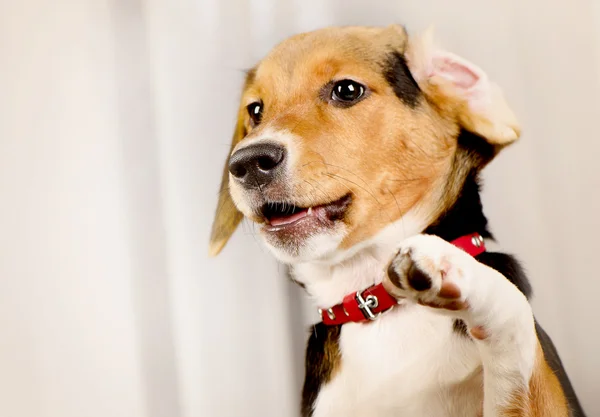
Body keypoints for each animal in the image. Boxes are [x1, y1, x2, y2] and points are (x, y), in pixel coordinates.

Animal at [209, 24, 584, 414]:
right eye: (255, 110)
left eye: (346, 90)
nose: (247, 163)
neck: (376, 305)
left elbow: (514, 315)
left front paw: (449, 265)